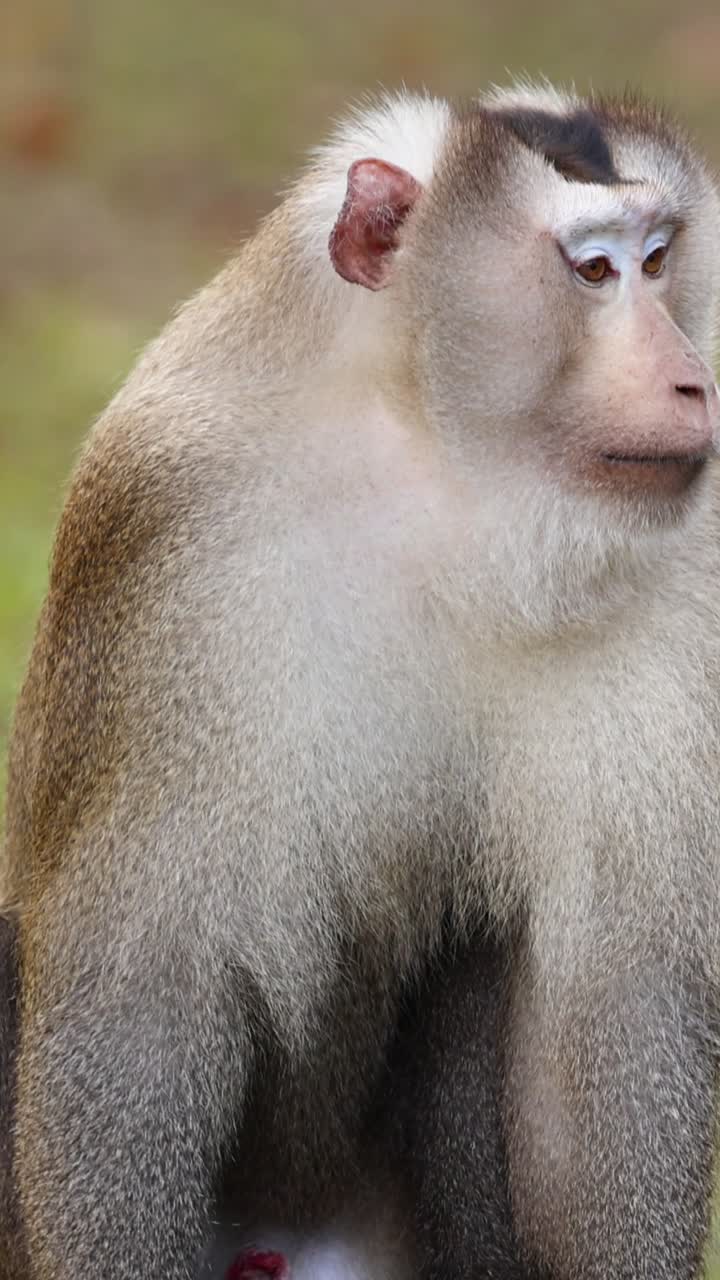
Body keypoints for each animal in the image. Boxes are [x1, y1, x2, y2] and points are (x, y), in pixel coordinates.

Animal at [2, 78, 720, 1280]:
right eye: (593, 271)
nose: (690, 377)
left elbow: (614, 1011)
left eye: (660, 258)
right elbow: (137, 1005)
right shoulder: (175, 527)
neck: (448, 477)